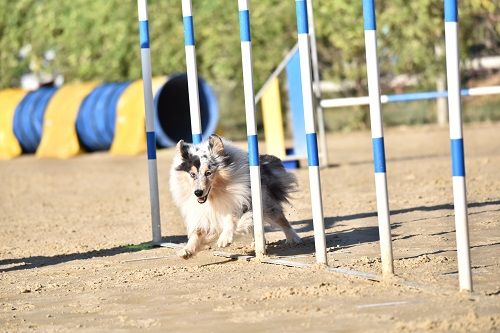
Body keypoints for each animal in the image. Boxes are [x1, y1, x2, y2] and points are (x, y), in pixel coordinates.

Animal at [170, 134, 302, 258]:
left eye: (208, 173)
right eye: (192, 174)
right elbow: (197, 232)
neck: (214, 196)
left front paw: (224, 239)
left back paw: (293, 239)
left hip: (265, 203)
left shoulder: (239, 202)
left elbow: (231, 218)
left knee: (280, 218)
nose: (198, 192)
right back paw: (257, 242)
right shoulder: (203, 213)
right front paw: (187, 250)